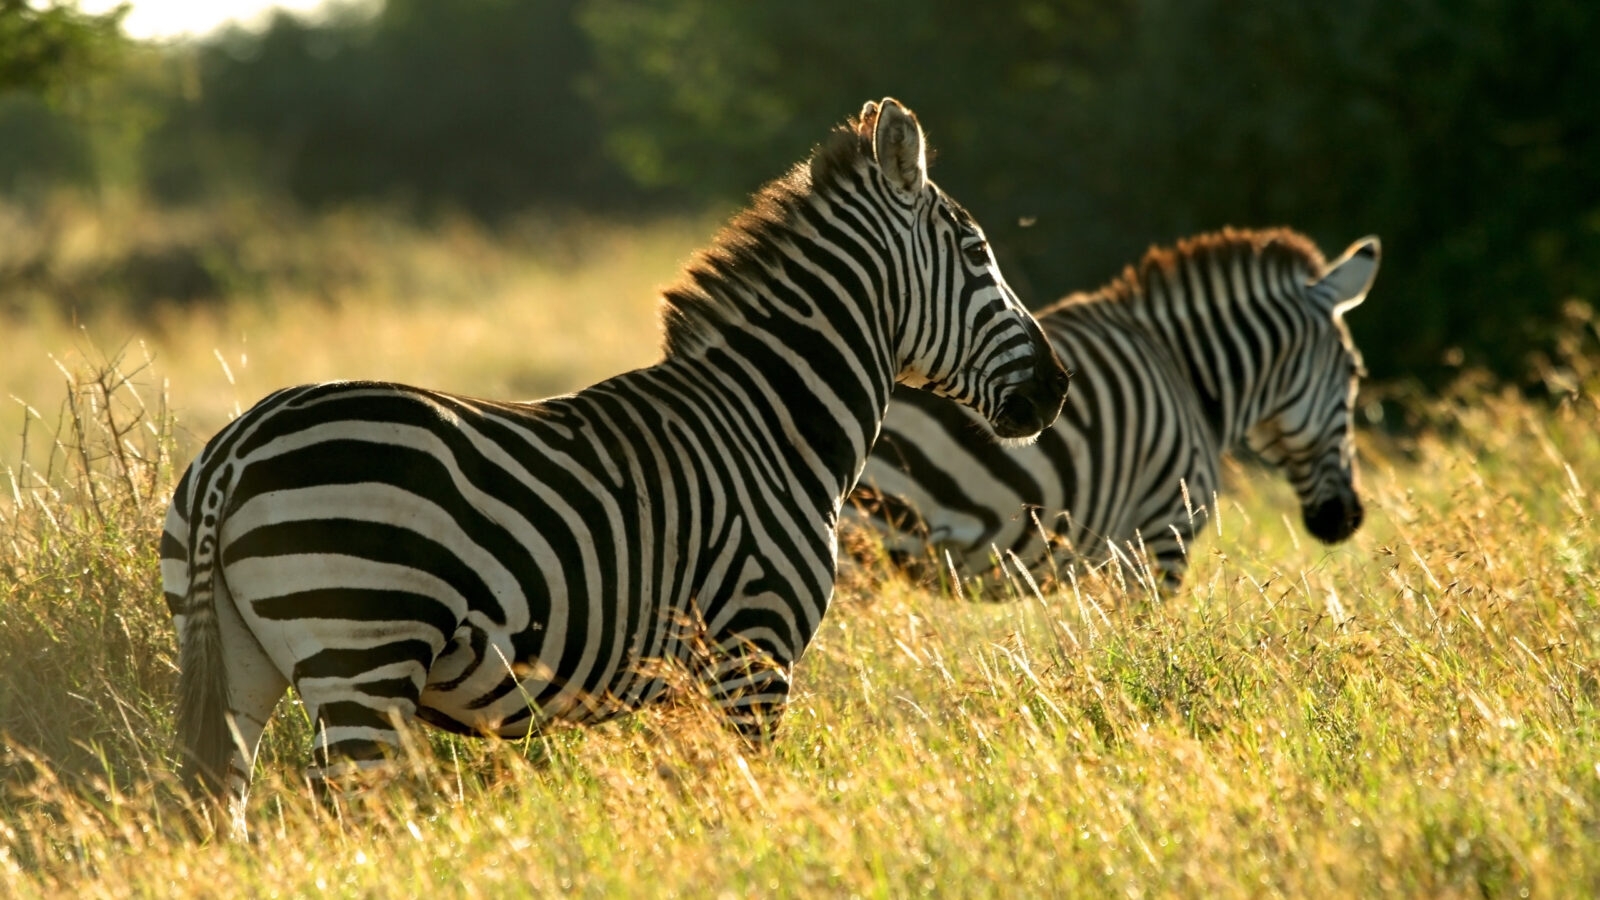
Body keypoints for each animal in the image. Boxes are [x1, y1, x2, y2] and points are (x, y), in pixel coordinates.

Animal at [161, 98, 1071, 809]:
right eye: (980, 254)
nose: (1056, 387)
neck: (774, 421)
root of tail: (236, 448)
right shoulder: (753, 650)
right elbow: (745, 796)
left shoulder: (684, 683)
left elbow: (690, 801)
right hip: (363, 656)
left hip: (242, 659)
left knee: (222, 806)